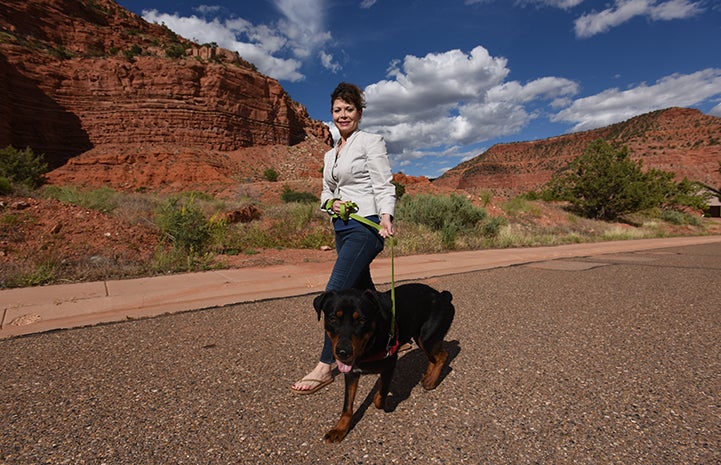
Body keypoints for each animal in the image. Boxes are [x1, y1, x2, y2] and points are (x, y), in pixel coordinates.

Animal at [312, 280, 452, 440]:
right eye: (333, 318)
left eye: (362, 320)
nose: (343, 352)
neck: (368, 346)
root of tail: (443, 296)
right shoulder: (351, 373)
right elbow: (347, 405)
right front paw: (340, 428)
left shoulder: (390, 364)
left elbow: (381, 395)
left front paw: (380, 399)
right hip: (420, 337)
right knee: (433, 357)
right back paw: (428, 377)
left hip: (427, 337)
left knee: (443, 355)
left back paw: (431, 381)